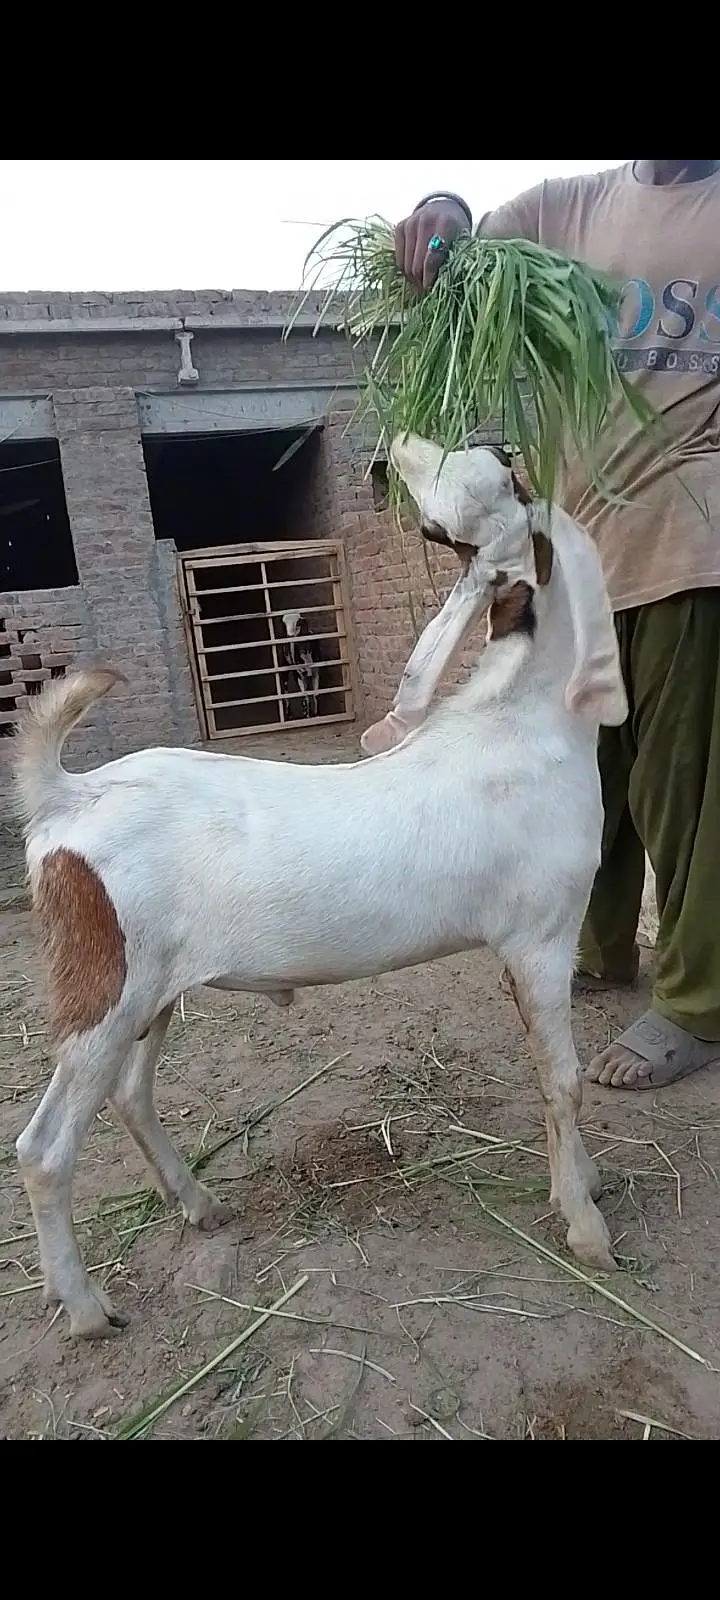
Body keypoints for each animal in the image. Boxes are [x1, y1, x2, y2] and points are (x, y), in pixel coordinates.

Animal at [14, 436, 627, 1338]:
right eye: (491, 474)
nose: (398, 450)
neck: (525, 725)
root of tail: (69, 798)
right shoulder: (542, 938)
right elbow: (564, 1080)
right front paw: (587, 1231)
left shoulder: (522, 950)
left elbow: (549, 1078)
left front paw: (577, 1185)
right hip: (104, 991)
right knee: (45, 1148)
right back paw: (88, 1309)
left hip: (153, 993)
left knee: (130, 1092)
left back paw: (199, 1206)